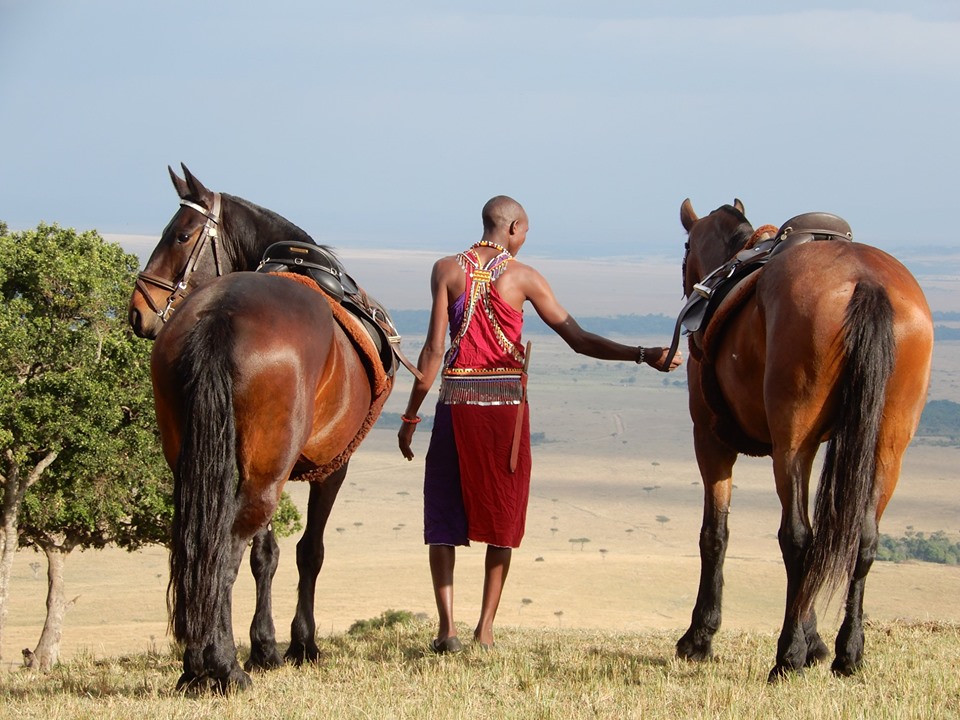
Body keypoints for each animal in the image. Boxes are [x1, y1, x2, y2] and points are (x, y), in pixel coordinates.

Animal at [127, 165, 394, 692]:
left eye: (180, 235)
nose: (137, 311)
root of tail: (221, 314)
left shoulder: (270, 465)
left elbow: (265, 555)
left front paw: (265, 647)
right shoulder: (333, 466)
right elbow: (309, 552)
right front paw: (302, 644)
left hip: (207, 465)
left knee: (197, 546)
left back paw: (195, 666)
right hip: (268, 473)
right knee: (223, 551)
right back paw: (221, 667)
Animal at [672, 198, 932, 680]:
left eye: (685, 249)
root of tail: (866, 281)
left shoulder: (711, 440)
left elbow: (715, 534)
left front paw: (700, 637)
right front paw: (818, 644)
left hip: (792, 441)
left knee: (798, 537)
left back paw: (786, 655)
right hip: (889, 442)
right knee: (863, 539)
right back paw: (849, 653)